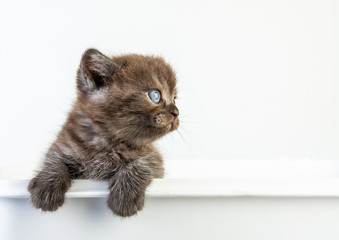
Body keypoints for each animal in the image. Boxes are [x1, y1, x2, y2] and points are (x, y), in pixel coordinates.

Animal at [27, 47, 179, 217]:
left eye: (175, 99)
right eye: (155, 95)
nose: (176, 112)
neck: (104, 142)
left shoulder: (155, 160)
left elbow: (141, 163)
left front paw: (124, 198)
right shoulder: (63, 145)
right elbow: (54, 161)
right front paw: (46, 188)